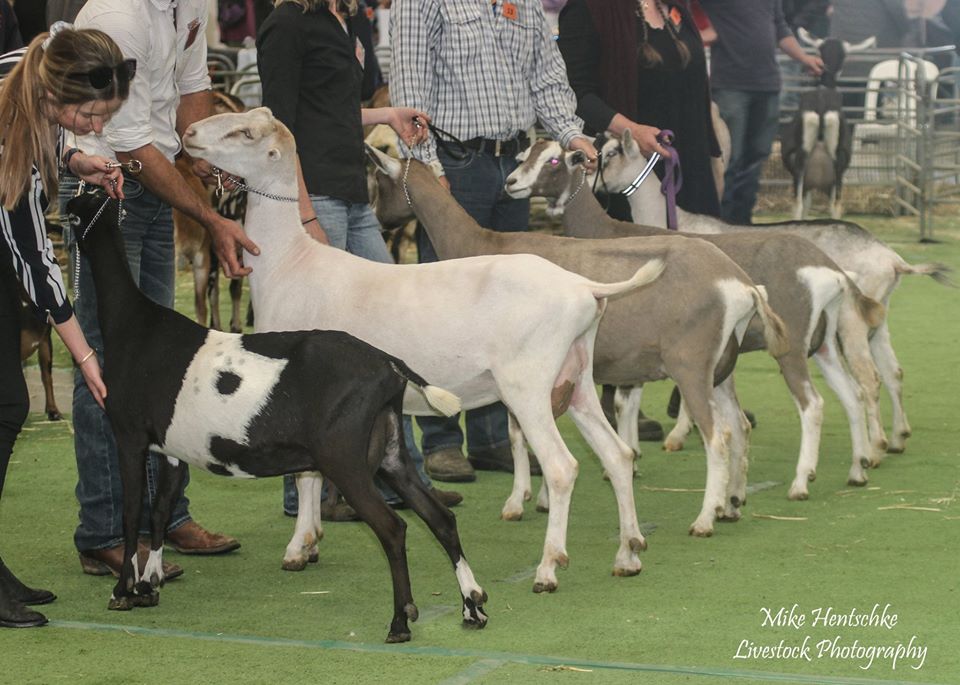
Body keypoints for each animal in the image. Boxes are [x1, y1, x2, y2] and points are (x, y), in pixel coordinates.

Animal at [65, 187, 479, 644]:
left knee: (393, 528)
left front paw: (122, 591)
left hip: (345, 459)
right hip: (388, 450)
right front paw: (148, 585)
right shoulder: (172, 450)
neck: (135, 324)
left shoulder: (129, 437)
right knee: (440, 518)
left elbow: (130, 513)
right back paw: (472, 606)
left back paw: (400, 620)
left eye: (78, 204)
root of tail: (388, 364)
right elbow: (158, 511)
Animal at [182, 108, 664, 592]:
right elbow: (312, 472)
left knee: (563, 467)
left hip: (528, 384)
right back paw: (628, 554)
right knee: (618, 456)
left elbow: (303, 475)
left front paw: (298, 546)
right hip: (576, 378)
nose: (188, 133)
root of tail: (584, 287)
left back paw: (548, 568)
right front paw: (311, 540)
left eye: (244, 132)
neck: (290, 263)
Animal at [366, 145, 789, 535]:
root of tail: (741, 284)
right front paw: (540, 499)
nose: (378, 221)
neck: (479, 243)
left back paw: (705, 518)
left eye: (379, 182)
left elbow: (518, 436)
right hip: (721, 366)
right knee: (740, 426)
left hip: (691, 365)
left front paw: (517, 502)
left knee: (718, 437)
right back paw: (732, 502)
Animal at [509, 139, 888, 499]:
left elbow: (622, 401)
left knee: (818, 404)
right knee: (852, 393)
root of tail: (830, 269)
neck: (606, 230)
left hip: (794, 346)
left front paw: (629, 458)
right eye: (524, 156)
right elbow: (626, 402)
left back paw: (804, 481)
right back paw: (858, 469)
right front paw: (633, 455)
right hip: (823, 343)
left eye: (554, 160)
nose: (511, 183)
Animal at [597, 130, 955, 454]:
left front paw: (678, 435)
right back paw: (897, 438)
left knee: (870, 378)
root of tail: (893, 259)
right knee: (894, 372)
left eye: (611, 154)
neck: (673, 221)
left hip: (851, 320)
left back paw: (876, 446)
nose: (596, 186)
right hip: (877, 317)